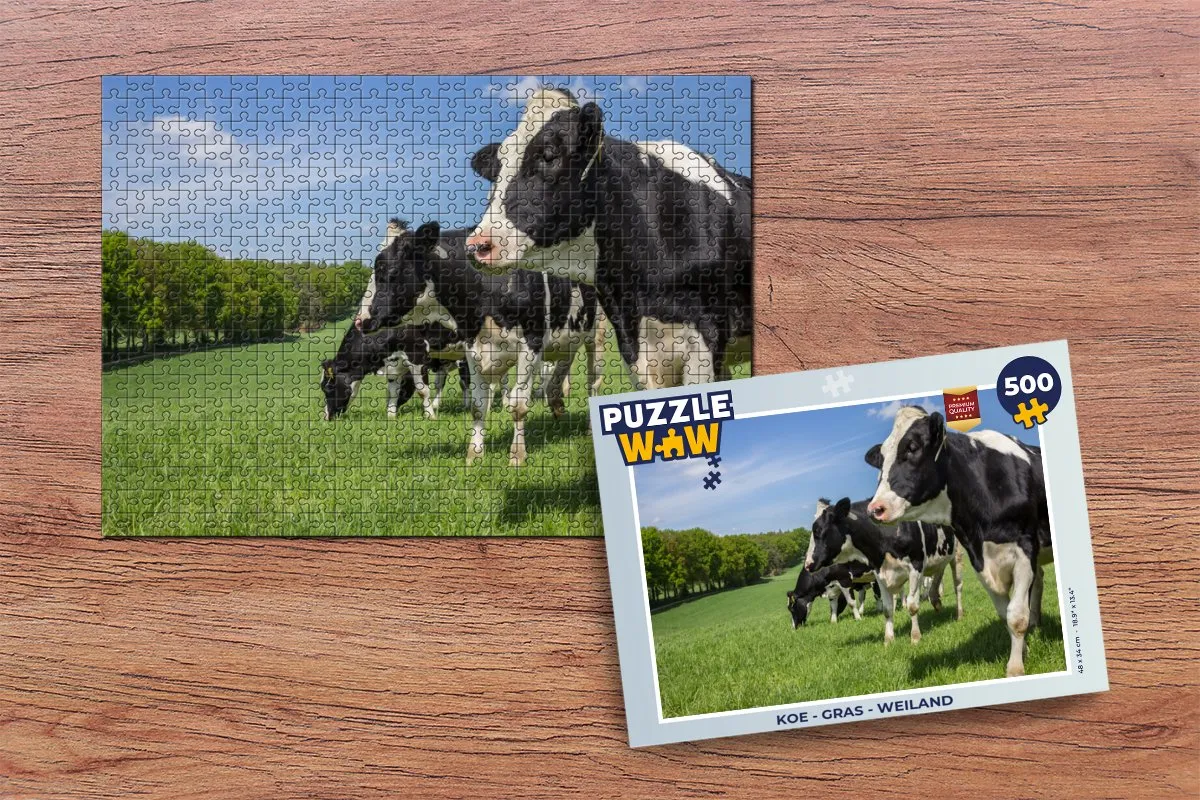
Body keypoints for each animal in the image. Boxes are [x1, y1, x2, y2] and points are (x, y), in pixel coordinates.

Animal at [321, 322, 468, 421]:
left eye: (328, 388)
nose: (326, 416)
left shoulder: (417, 358)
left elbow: (422, 391)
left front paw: (430, 415)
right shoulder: (394, 367)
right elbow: (392, 392)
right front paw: (391, 416)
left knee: (464, 382)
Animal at [361, 221, 601, 466]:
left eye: (389, 271)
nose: (362, 320)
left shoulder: (530, 346)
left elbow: (518, 405)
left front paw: (517, 455)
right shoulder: (471, 348)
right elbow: (477, 407)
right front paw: (474, 454)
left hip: (596, 335)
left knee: (593, 381)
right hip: (567, 337)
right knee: (562, 367)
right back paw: (557, 405)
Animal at [808, 497, 963, 647]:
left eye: (818, 530)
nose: (808, 564)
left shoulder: (916, 568)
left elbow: (912, 606)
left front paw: (915, 637)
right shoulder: (879, 574)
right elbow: (887, 609)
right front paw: (888, 640)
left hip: (957, 554)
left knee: (957, 586)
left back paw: (959, 615)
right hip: (939, 558)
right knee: (937, 577)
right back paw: (936, 603)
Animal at [865, 406, 1053, 677]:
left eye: (912, 447)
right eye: (881, 459)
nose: (875, 509)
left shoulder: (1025, 549)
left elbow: (1016, 616)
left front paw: (1015, 668)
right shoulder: (979, 557)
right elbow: (1003, 613)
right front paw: (1024, 649)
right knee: (1038, 581)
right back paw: (1036, 622)